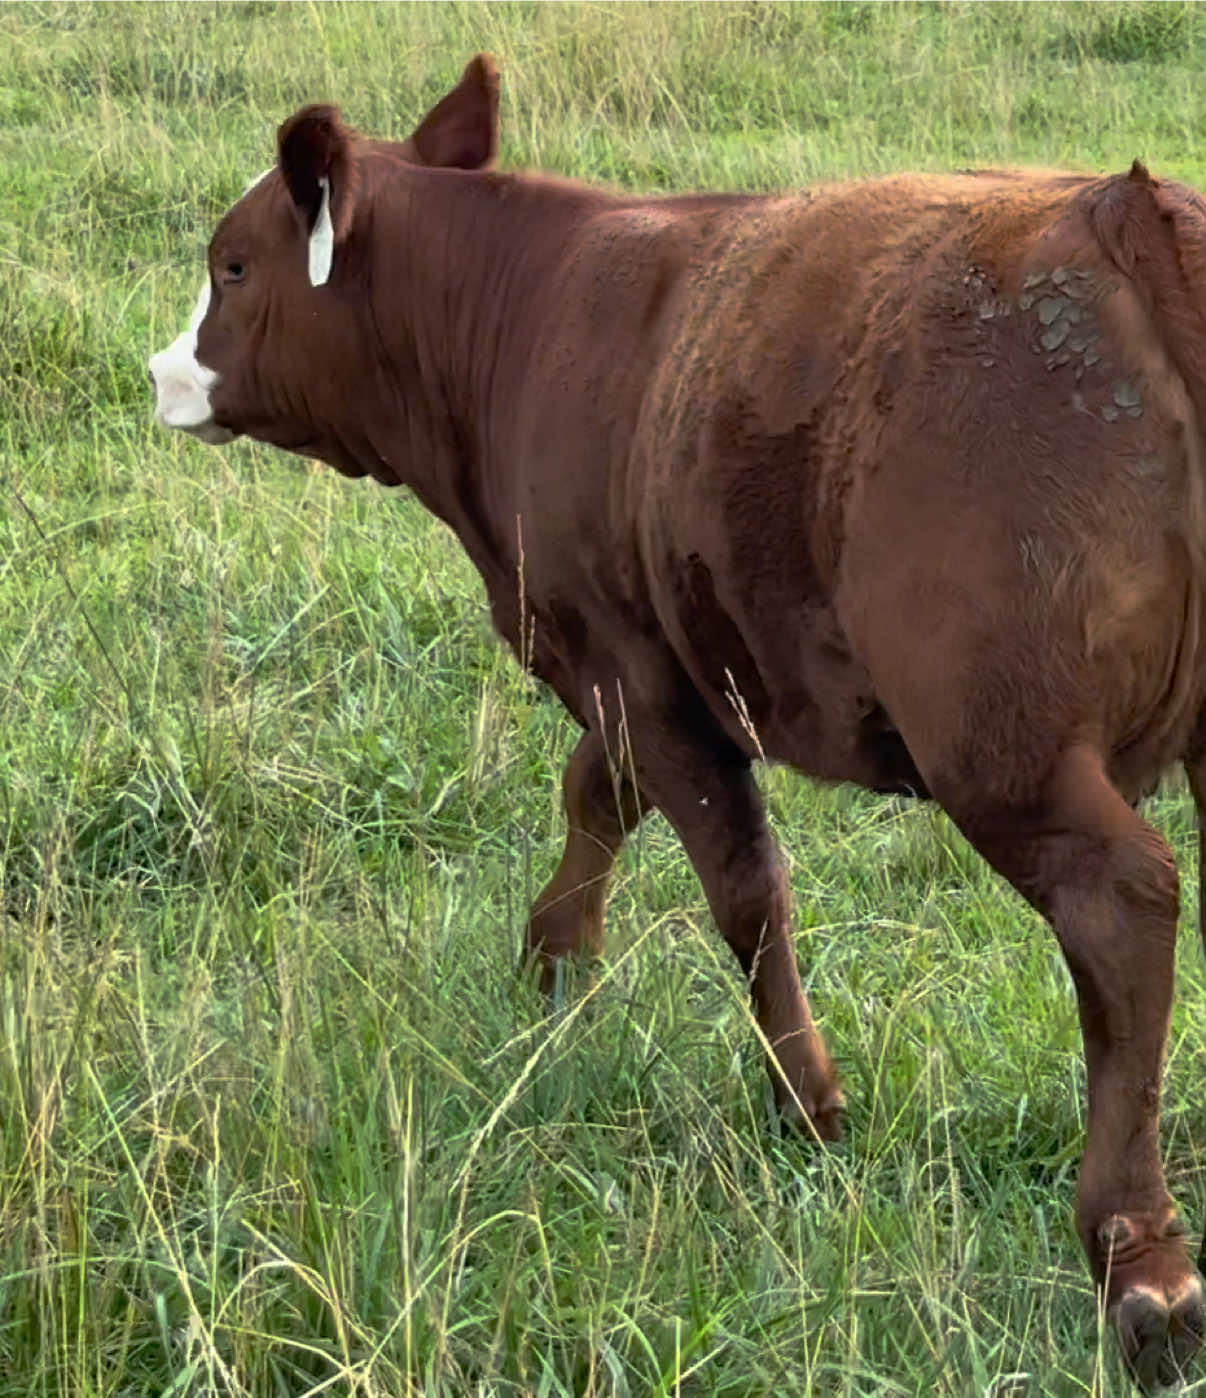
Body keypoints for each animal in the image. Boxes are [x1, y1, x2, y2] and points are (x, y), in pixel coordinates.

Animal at [148, 54, 1206, 1389]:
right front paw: (552, 968)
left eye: (233, 264)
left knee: (1121, 910)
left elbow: (745, 889)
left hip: (1001, 744)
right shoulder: (631, 664)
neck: (528, 309)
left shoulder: (636, 667)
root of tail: (1127, 212)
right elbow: (595, 797)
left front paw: (809, 1107)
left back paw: (1143, 1270)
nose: (162, 370)